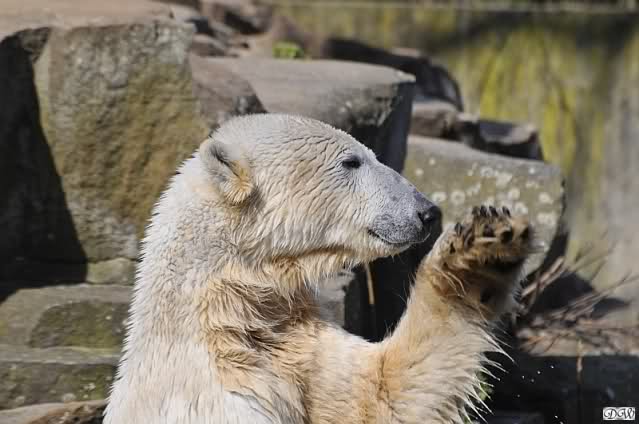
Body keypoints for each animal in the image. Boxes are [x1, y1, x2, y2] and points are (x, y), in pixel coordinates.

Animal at [104, 114, 533, 424]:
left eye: (370, 153)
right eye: (351, 161)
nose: (426, 211)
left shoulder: (296, 347)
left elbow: (384, 392)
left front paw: (483, 250)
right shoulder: (220, 400)